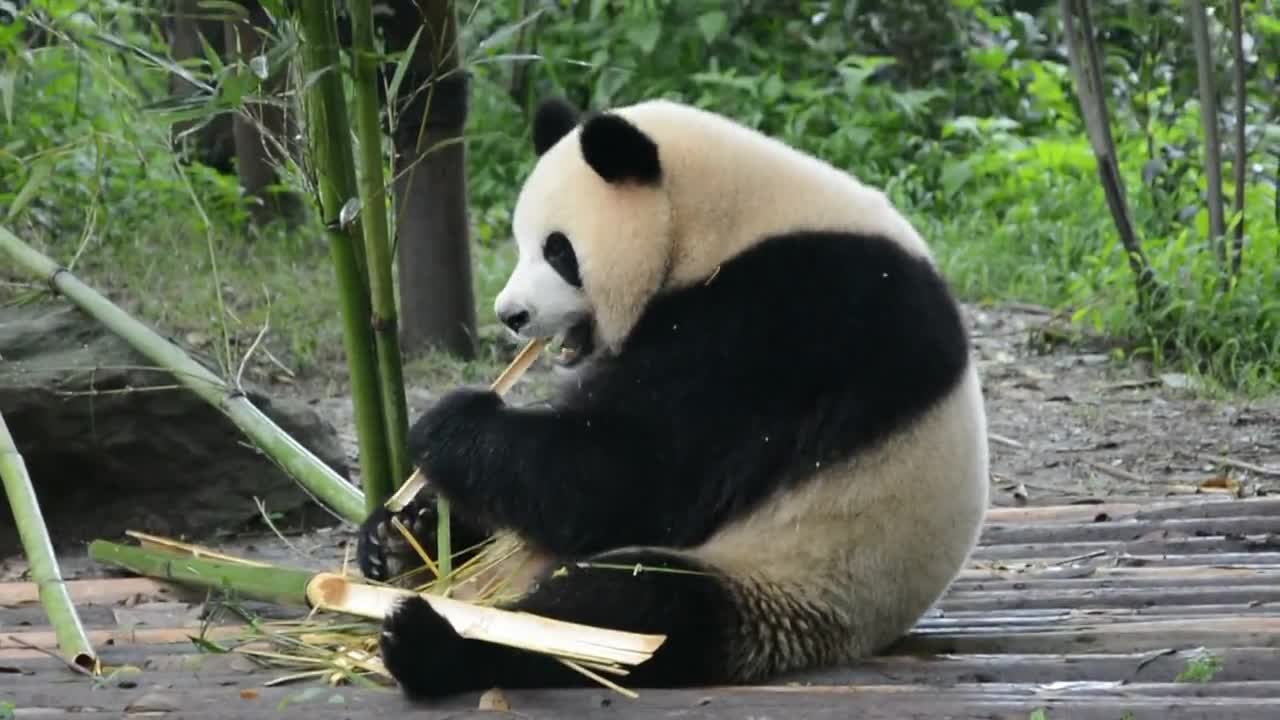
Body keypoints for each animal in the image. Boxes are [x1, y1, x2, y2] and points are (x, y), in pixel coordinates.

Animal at [355, 95, 993, 696]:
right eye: (521, 242)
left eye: (558, 251)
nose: (511, 315)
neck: (725, 220)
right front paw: (402, 520)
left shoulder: (788, 318)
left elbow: (633, 475)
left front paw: (447, 425)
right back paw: (404, 544)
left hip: (792, 580)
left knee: (629, 611)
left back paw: (431, 643)